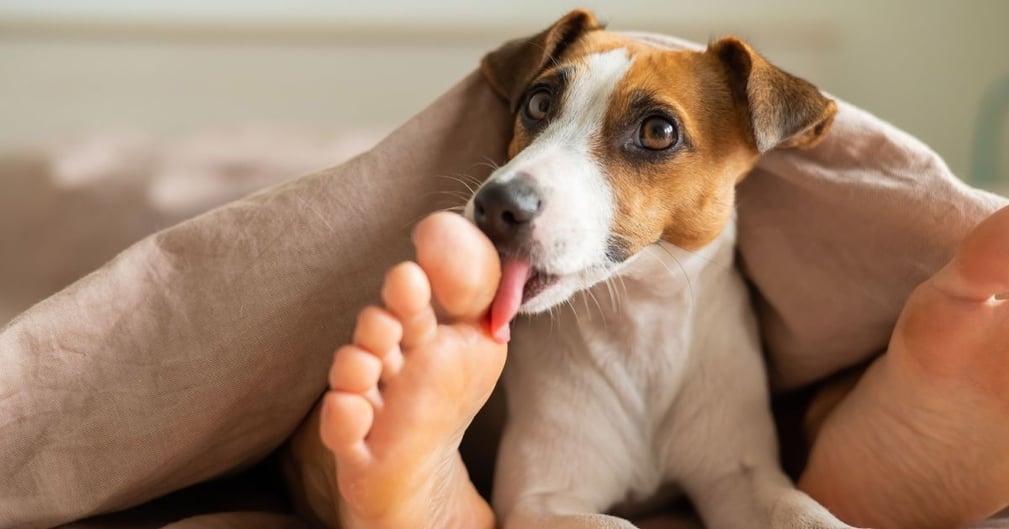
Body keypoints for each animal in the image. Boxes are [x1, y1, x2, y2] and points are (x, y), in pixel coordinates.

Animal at [464, 9, 851, 529]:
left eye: (658, 132)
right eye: (539, 102)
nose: (495, 205)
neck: (639, 325)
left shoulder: (740, 477)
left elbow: (803, 510)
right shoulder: (539, 500)